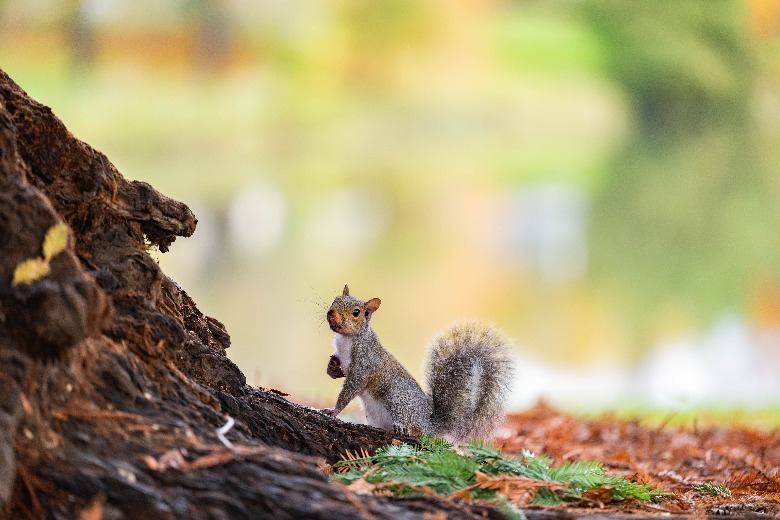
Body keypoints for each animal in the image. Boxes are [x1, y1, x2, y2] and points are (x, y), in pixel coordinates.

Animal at [318, 285, 514, 441]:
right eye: (335, 300)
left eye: (356, 312)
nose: (331, 314)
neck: (347, 340)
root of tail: (428, 425)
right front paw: (332, 367)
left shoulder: (364, 363)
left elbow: (351, 388)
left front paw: (333, 411)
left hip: (397, 396)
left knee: (413, 429)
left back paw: (402, 426)